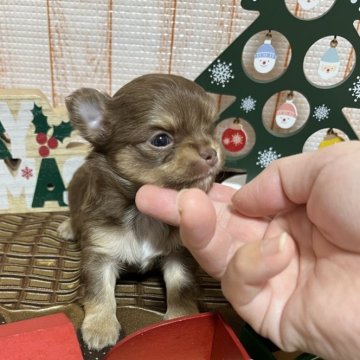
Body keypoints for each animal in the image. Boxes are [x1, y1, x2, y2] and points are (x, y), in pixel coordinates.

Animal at [58, 74, 222, 350]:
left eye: (210, 130)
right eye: (161, 140)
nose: (212, 152)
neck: (143, 215)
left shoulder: (179, 253)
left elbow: (181, 286)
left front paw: (182, 317)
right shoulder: (100, 253)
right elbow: (100, 292)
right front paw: (100, 327)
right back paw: (69, 227)